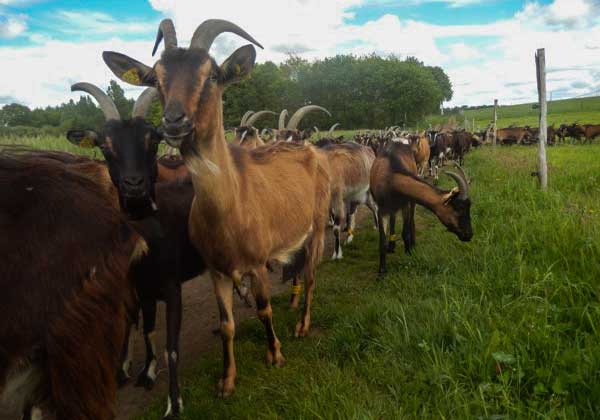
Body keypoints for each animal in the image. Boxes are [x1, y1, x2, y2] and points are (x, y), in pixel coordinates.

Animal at [104, 18, 332, 402]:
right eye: (156, 77)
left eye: (211, 74)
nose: (174, 121)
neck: (230, 209)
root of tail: (311, 151)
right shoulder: (217, 271)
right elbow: (226, 324)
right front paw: (226, 381)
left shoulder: (256, 263)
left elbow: (264, 308)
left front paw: (275, 354)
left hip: (316, 225)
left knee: (312, 274)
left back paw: (302, 324)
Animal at [370, 143, 474, 278]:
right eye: (459, 208)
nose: (469, 234)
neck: (391, 177)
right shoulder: (381, 210)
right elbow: (382, 241)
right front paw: (382, 272)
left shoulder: (405, 204)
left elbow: (406, 232)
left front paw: (408, 253)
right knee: (394, 218)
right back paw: (392, 246)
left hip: (410, 203)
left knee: (411, 221)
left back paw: (410, 244)